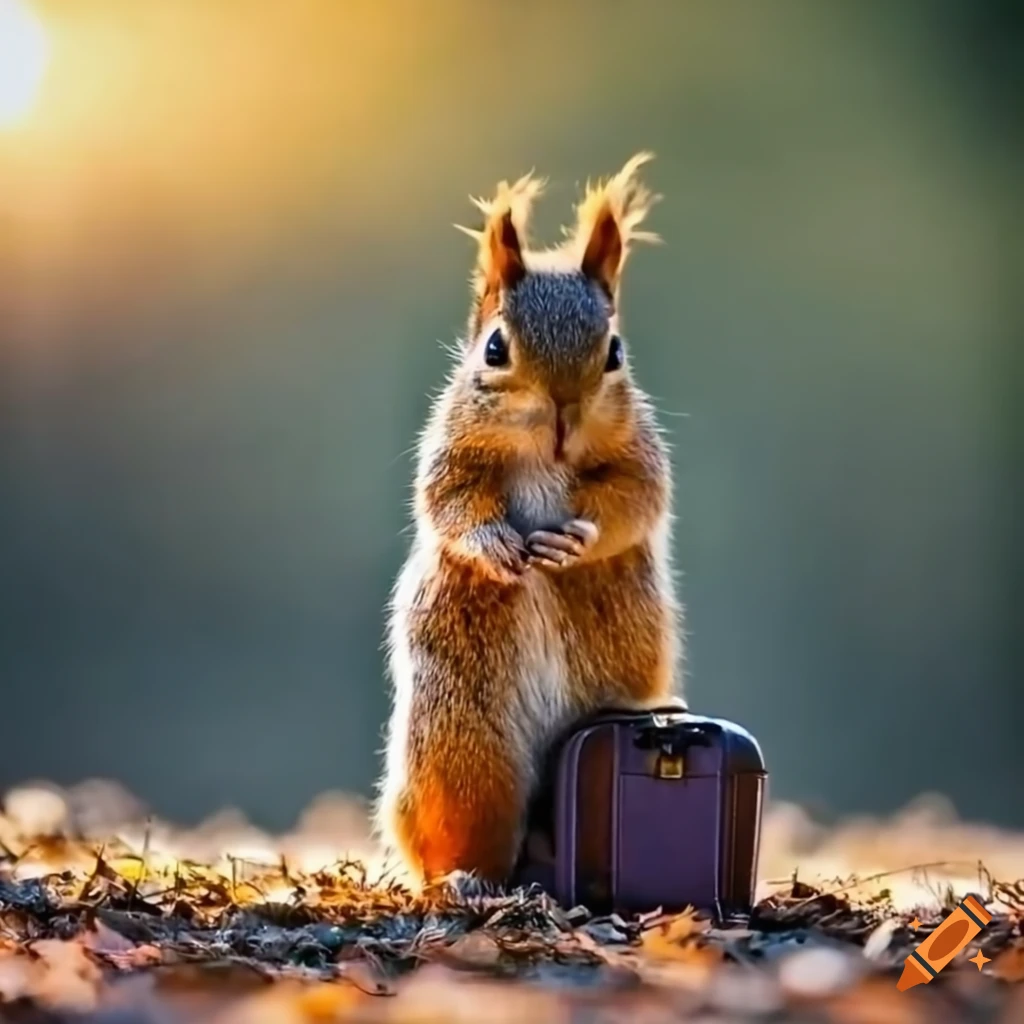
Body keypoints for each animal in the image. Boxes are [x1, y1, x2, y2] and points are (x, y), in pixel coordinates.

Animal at [376, 153, 683, 886]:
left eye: (614, 351)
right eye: (495, 349)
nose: (564, 413)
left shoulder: (640, 455)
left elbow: (637, 498)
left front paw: (577, 538)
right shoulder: (450, 453)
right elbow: (449, 502)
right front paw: (495, 545)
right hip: (464, 742)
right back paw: (465, 879)